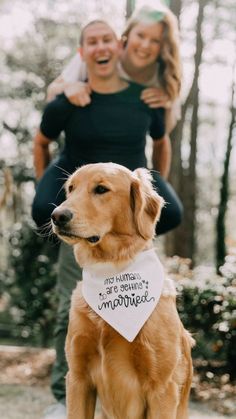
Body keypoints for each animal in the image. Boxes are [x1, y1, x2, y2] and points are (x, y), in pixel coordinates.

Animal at [51, 163, 194, 419]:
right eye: (70, 188)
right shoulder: (77, 378)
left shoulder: (162, 387)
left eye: (101, 189)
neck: (112, 269)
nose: (57, 216)